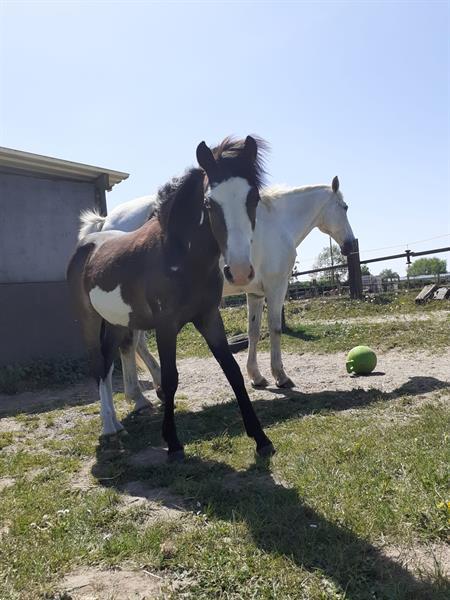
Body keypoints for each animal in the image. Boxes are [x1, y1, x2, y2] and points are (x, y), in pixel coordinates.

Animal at [67, 137, 274, 460]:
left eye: (252, 198)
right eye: (209, 203)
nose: (239, 272)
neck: (177, 255)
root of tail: (86, 245)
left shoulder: (209, 318)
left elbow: (233, 372)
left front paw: (261, 438)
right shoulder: (166, 326)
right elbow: (170, 378)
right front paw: (173, 443)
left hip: (115, 323)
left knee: (110, 363)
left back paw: (117, 423)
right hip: (89, 322)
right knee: (98, 366)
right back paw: (108, 428)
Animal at [80, 173, 356, 406]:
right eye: (345, 207)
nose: (351, 245)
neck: (277, 222)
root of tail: (106, 224)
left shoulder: (255, 293)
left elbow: (254, 332)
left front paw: (257, 377)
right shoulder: (277, 287)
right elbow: (275, 329)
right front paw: (281, 376)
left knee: (136, 346)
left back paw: (156, 386)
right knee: (130, 345)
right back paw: (138, 398)